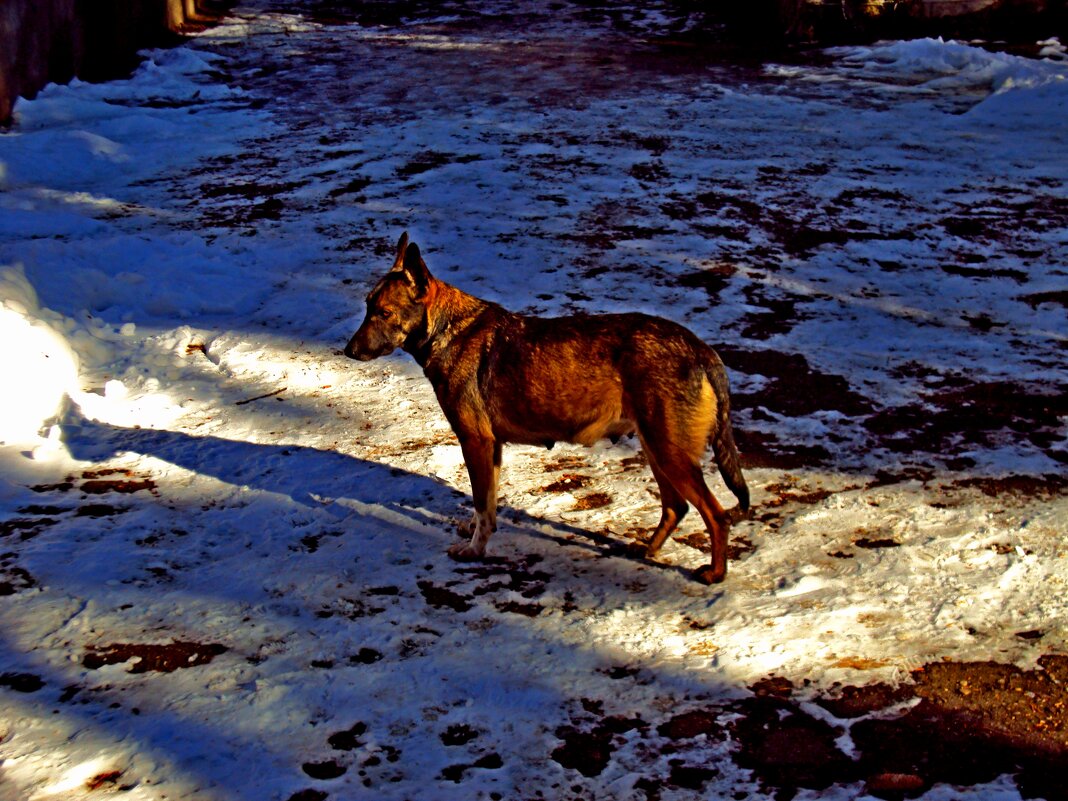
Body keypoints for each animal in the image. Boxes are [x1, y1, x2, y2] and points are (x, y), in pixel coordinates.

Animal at [346, 231, 747, 585]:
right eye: (367, 308)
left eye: (384, 313)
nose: (348, 351)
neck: (448, 330)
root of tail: (702, 349)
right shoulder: (491, 448)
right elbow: (486, 505)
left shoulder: (475, 442)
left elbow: (481, 504)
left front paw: (474, 550)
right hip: (658, 451)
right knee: (676, 507)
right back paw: (647, 550)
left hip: (670, 455)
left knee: (716, 515)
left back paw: (715, 574)